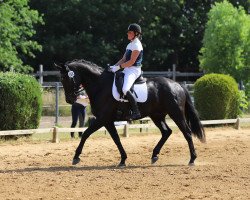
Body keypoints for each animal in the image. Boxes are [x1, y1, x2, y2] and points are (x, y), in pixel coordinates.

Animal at [56, 59, 205, 167]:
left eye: (65, 78)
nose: (69, 99)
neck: (100, 85)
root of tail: (177, 85)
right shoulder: (107, 121)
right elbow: (116, 139)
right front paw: (123, 160)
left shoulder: (102, 118)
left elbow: (86, 134)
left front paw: (76, 157)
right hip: (157, 116)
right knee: (166, 132)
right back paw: (154, 155)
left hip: (176, 114)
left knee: (187, 133)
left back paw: (192, 159)